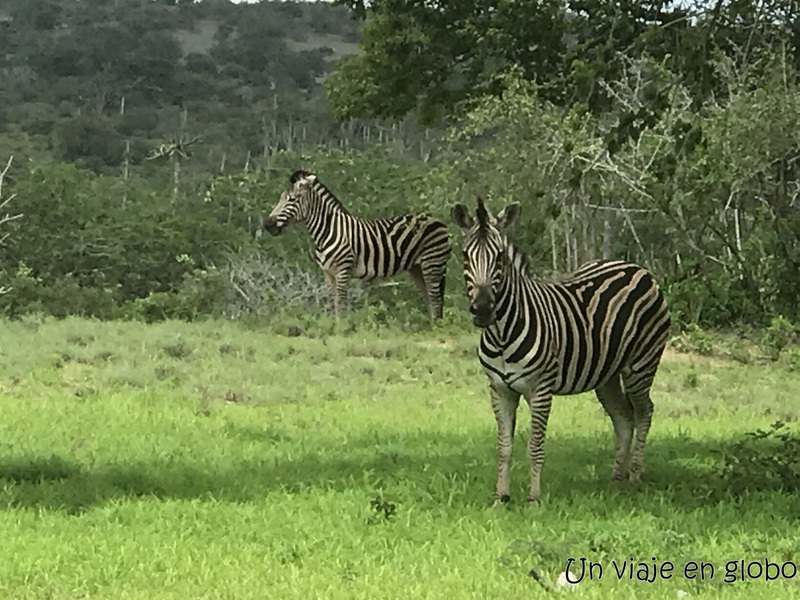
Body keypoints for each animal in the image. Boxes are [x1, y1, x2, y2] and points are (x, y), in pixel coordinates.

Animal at [262, 169, 450, 322]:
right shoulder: (328, 273)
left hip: (432, 263)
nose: (268, 225)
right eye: (280, 199)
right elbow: (333, 302)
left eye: (292, 199)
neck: (327, 231)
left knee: (435, 298)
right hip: (416, 268)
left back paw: (437, 328)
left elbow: (341, 303)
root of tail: (436, 220)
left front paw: (342, 328)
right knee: (428, 297)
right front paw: (334, 325)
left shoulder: (343, 271)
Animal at [454, 198, 672, 506]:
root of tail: (636, 267)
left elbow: (534, 446)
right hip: (606, 376)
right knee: (623, 416)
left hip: (641, 364)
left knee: (644, 411)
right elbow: (504, 447)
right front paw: (501, 497)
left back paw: (635, 476)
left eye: (500, 258)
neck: (501, 335)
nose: (483, 309)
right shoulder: (499, 390)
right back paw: (616, 479)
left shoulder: (540, 389)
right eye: (465, 256)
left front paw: (534, 499)